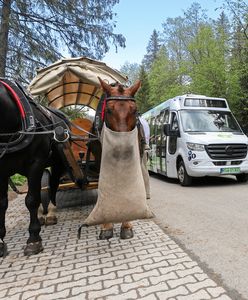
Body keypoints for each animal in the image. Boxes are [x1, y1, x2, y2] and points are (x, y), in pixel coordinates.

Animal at [0, 78, 69, 256]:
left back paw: (50, 212)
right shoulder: (1, 171)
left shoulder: (35, 164)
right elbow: (2, 203)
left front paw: (33, 239)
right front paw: (1, 241)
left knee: (53, 187)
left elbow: (31, 200)